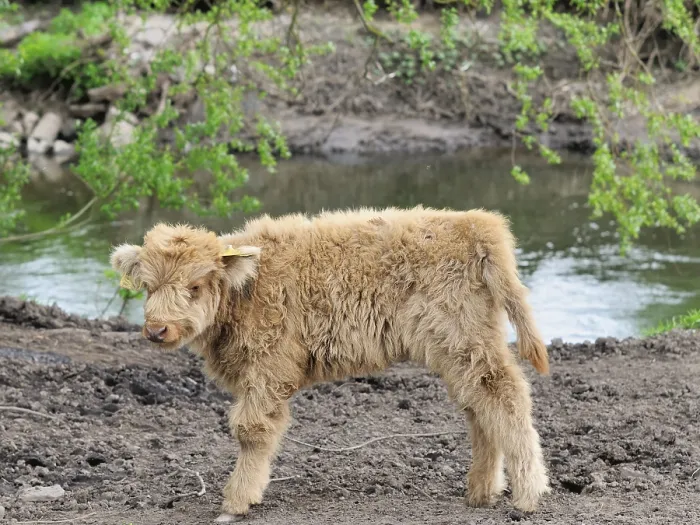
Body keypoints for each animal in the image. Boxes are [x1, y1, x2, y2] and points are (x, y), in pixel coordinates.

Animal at [110, 206, 551, 521]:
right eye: (148, 286)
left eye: (195, 286)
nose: (157, 329)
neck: (245, 291)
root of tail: (477, 223)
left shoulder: (268, 370)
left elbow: (251, 429)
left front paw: (235, 503)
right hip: (465, 347)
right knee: (481, 407)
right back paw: (481, 491)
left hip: (463, 340)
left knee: (505, 396)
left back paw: (528, 495)